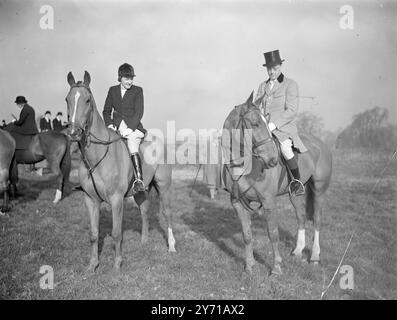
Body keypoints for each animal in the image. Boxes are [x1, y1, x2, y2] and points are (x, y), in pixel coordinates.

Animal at [65, 71, 175, 272]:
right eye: (67, 99)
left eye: (87, 100)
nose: (74, 133)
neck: (96, 157)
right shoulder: (90, 200)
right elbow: (93, 233)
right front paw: (93, 265)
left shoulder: (116, 199)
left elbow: (116, 232)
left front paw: (117, 263)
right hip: (140, 191)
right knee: (144, 209)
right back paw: (144, 241)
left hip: (163, 186)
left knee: (167, 212)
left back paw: (171, 245)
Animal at [220, 92, 332, 276]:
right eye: (255, 123)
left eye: (266, 122)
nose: (272, 160)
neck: (244, 165)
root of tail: (321, 143)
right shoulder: (238, 203)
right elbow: (247, 235)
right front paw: (249, 266)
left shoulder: (268, 202)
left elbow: (273, 234)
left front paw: (276, 268)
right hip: (295, 193)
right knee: (301, 216)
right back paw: (297, 251)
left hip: (319, 190)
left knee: (317, 219)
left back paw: (315, 256)